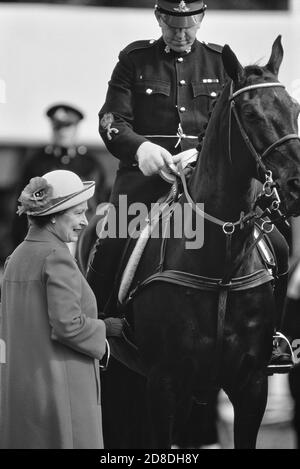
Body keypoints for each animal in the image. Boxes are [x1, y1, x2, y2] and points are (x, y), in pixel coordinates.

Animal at [82, 36, 300, 446]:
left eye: (294, 108)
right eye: (250, 114)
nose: (296, 184)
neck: (221, 265)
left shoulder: (252, 386)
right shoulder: (164, 385)